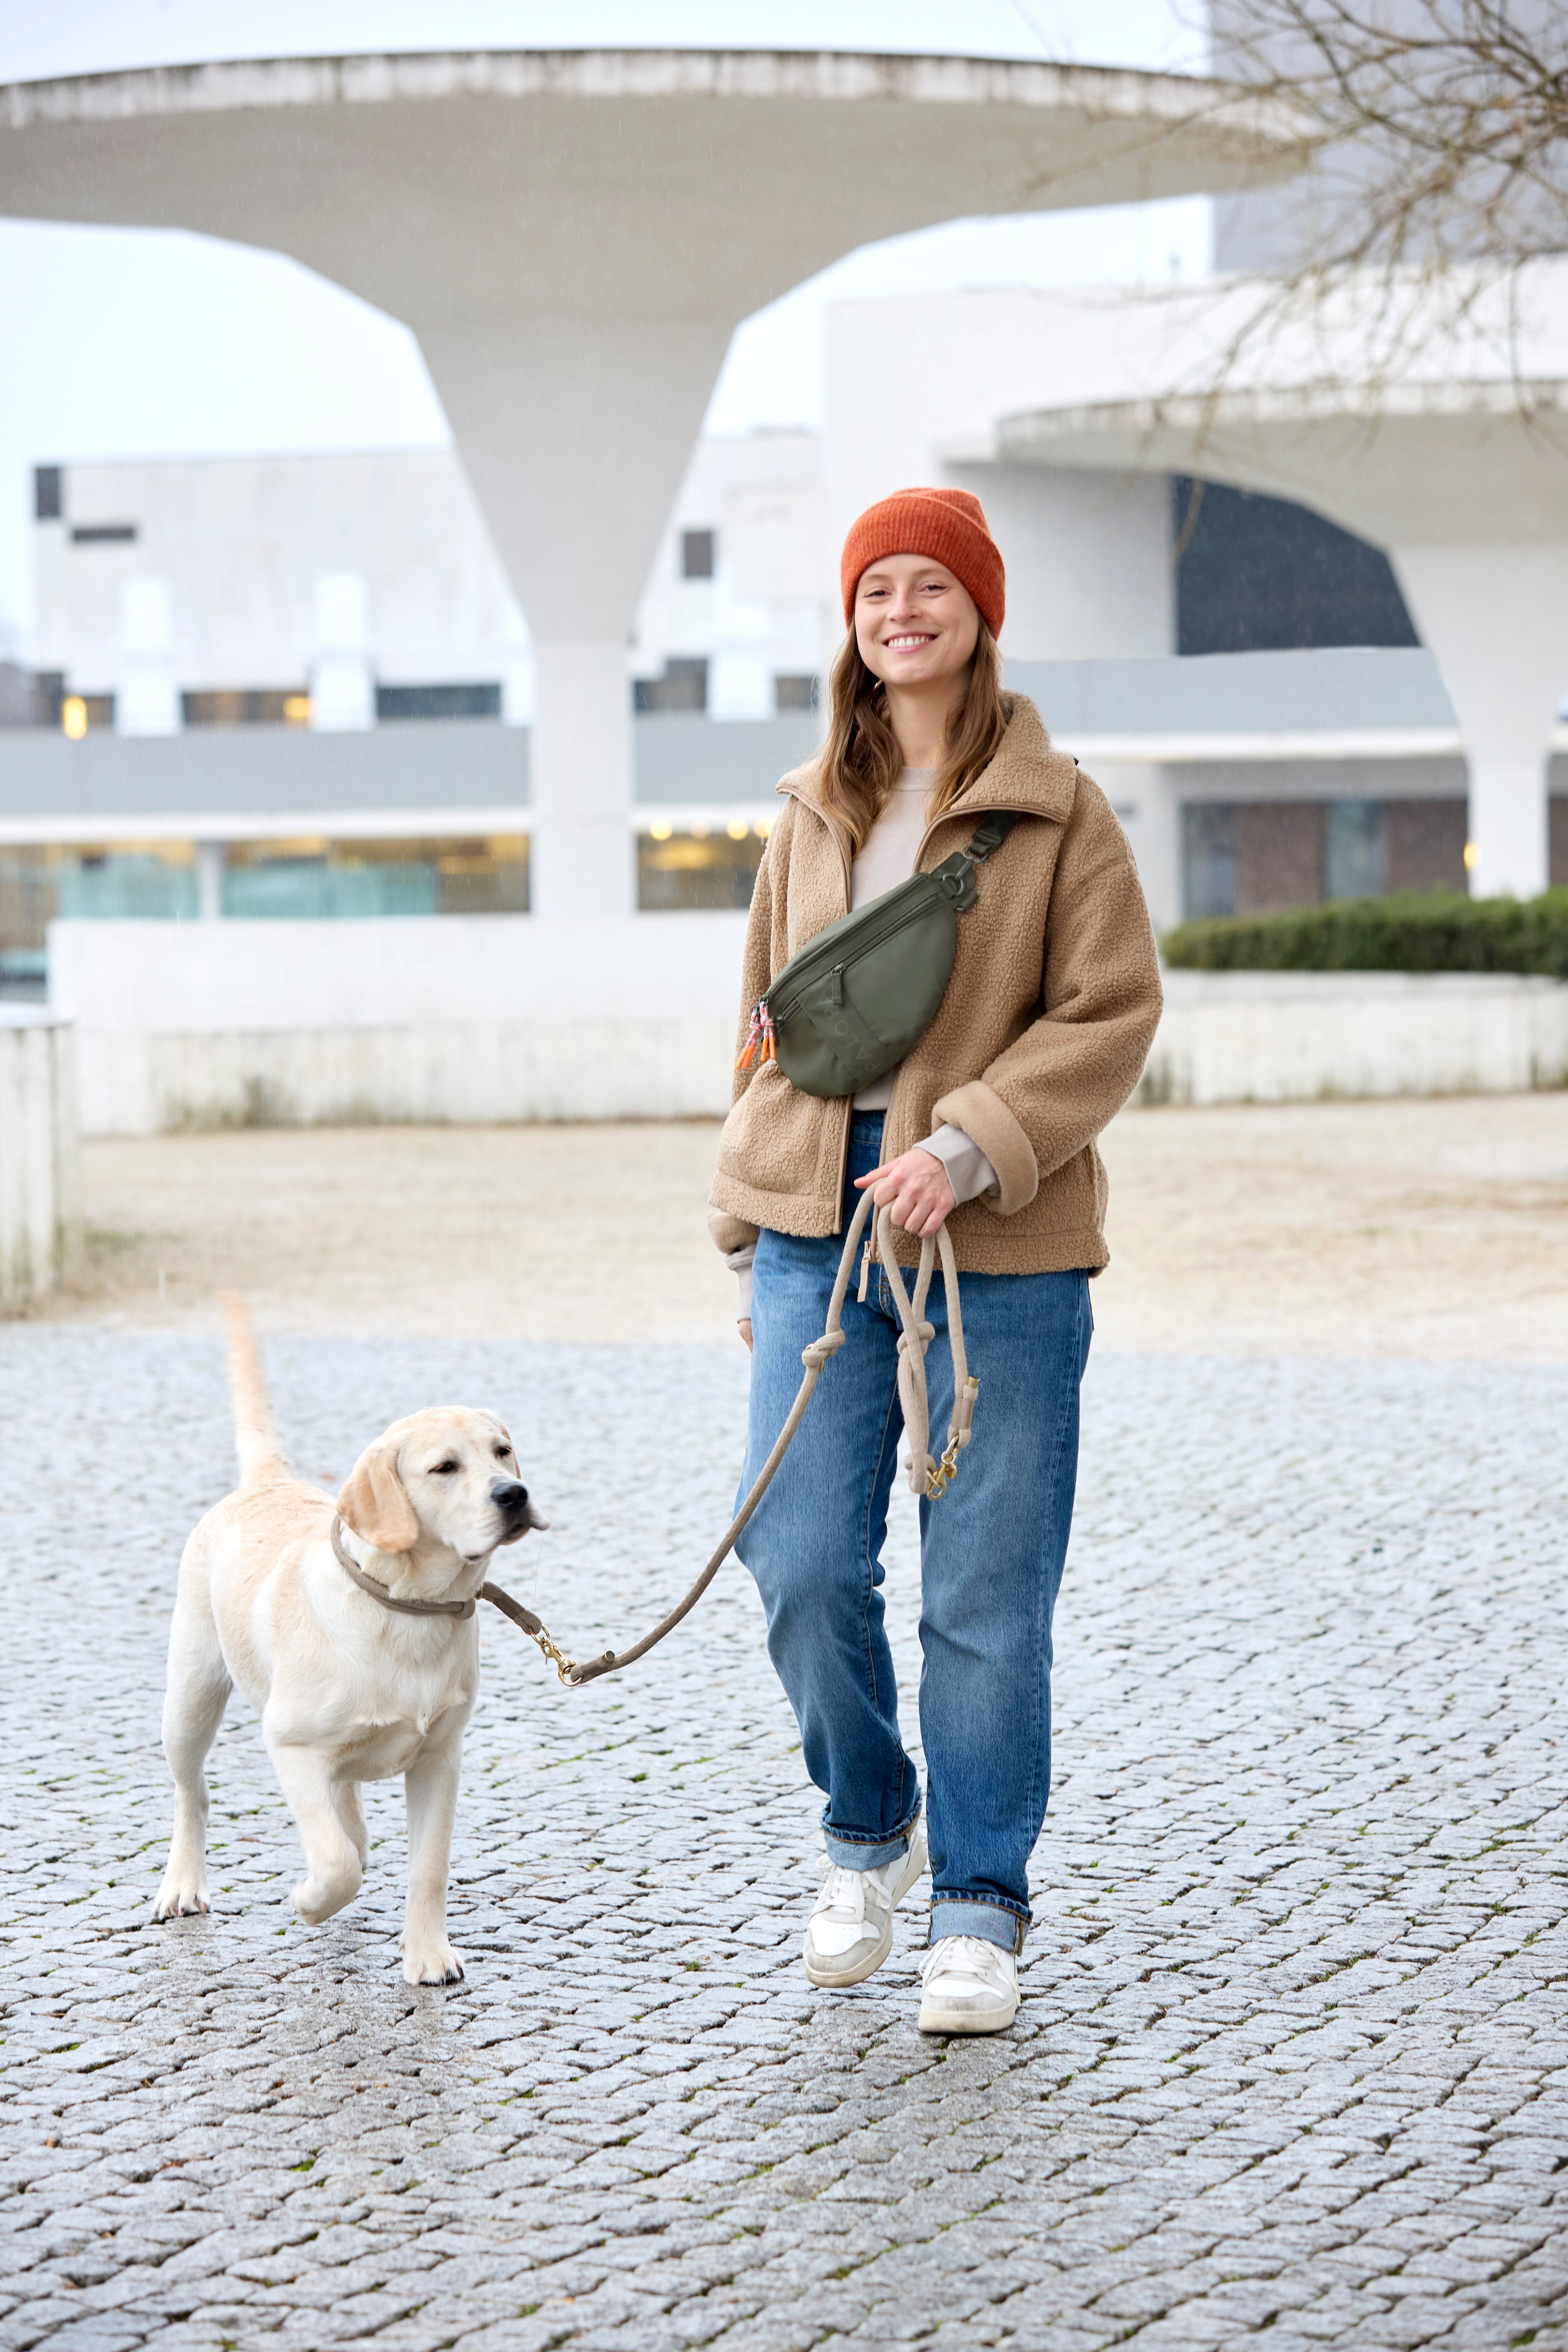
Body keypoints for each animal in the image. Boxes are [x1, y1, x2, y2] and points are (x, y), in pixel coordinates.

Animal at [153, 1298, 545, 1975]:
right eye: (445, 1467)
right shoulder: (292, 1747)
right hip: (190, 1699)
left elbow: (429, 1867)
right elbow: (333, 1864)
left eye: (503, 1452)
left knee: (348, 1805)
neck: (408, 1610)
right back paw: (183, 1884)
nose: (514, 1493)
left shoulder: (442, 1759)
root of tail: (267, 1481)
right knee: (193, 1794)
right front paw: (311, 1902)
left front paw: (428, 1954)